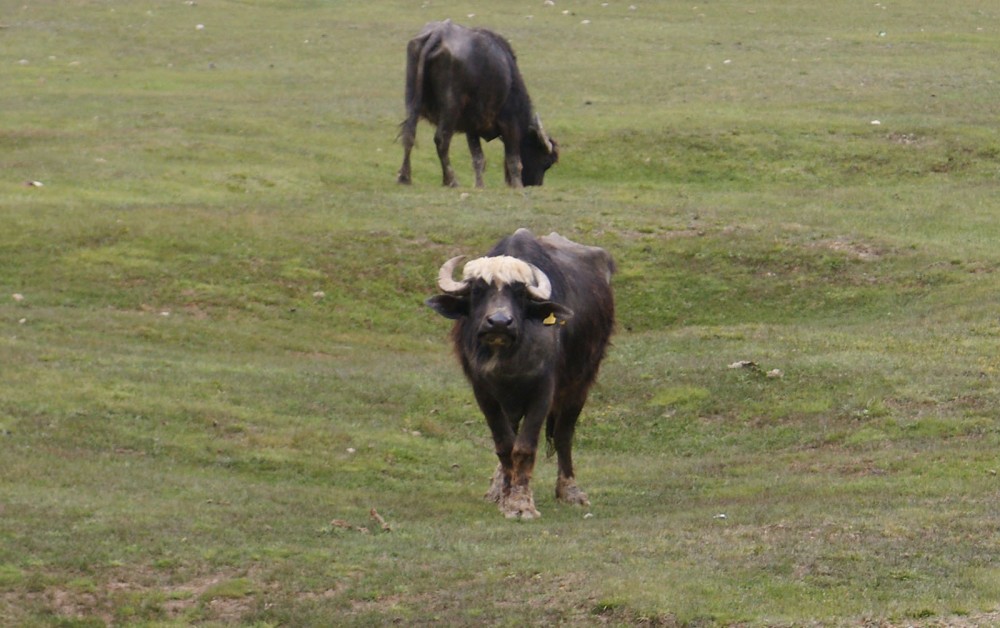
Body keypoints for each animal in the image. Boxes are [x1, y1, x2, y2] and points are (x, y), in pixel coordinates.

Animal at [396, 20, 556, 189]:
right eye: (546, 161)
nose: (535, 185)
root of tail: (438, 34)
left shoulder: (472, 128)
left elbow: (478, 159)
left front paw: (479, 185)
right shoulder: (510, 124)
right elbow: (514, 160)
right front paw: (517, 185)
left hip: (411, 99)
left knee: (409, 134)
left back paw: (404, 177)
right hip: (450, 108)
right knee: (441, 139)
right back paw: (451, 180)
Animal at [426, 228, 612, 516]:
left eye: (520, 294)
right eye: (478, 291)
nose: (499, 323)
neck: (508, 357)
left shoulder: (544, 391)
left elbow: (524, 447)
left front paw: (521, 503)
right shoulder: (484, 393)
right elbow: (504, 444)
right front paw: (506, 496)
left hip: (581, 382)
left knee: (564, 434)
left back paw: (570, 490)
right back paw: (496, 489)